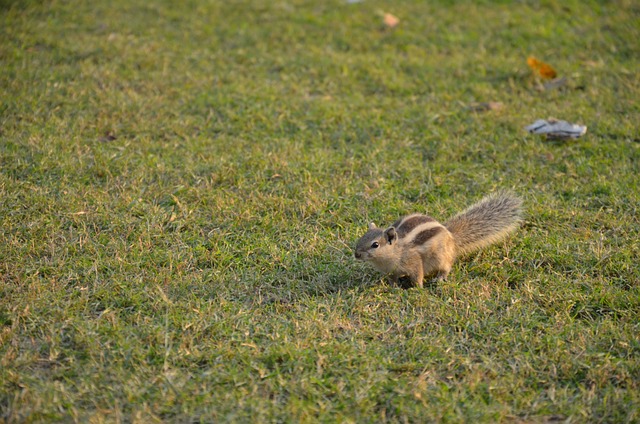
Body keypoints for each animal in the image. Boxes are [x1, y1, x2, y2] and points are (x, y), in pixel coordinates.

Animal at [352, 192, 524, 288]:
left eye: (375, 245)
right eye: (360, 238)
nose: (356, 255)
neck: (395, 251)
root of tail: (452, 237)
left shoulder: (414, 262)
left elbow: (418, 275)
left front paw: (417, 289)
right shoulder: (391, 271)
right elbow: (393, 279)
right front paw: (393, 287)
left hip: (442, 257)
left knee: (446, 267)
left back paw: (439, 279)